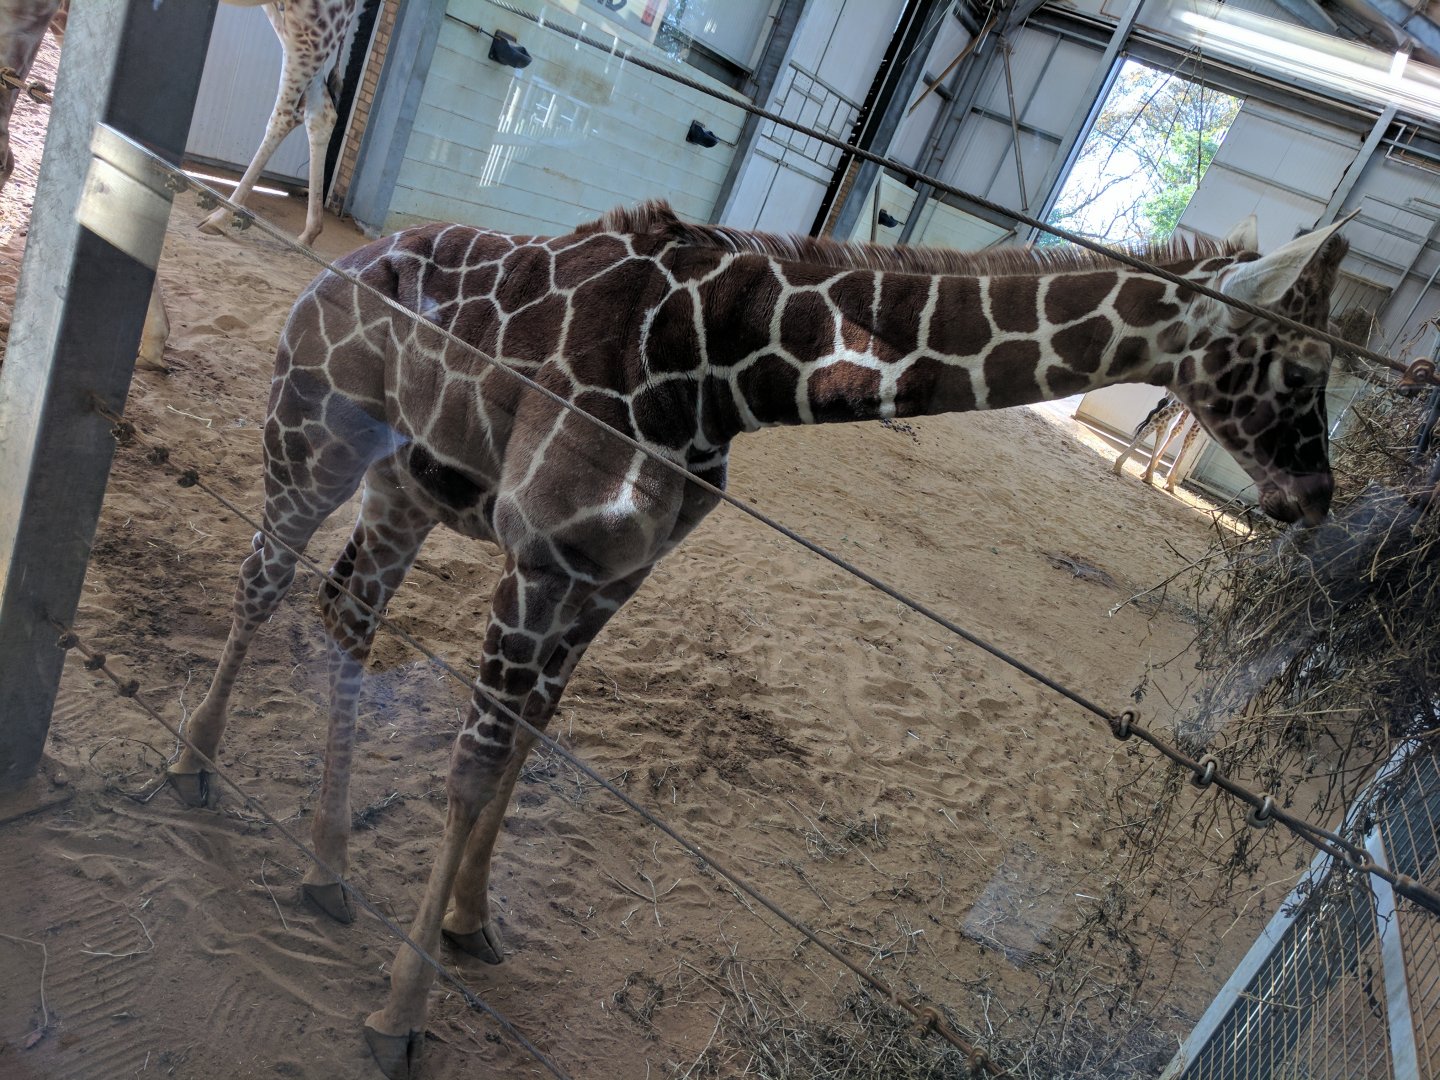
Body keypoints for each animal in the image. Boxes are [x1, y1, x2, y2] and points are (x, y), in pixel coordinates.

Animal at [164, 202, 1350, 1078]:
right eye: (1298, 369)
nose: (1315, 498)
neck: (725, 368)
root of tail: (338, 264)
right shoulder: (544, 559)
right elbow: (472, 763)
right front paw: (399, 1019)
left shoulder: (616, 572)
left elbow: (532, 739)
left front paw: (470, 922)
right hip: (314, 430)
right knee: (266, 577)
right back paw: (192, 769)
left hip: (405, 480)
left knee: (345, 609)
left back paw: (324, 867)